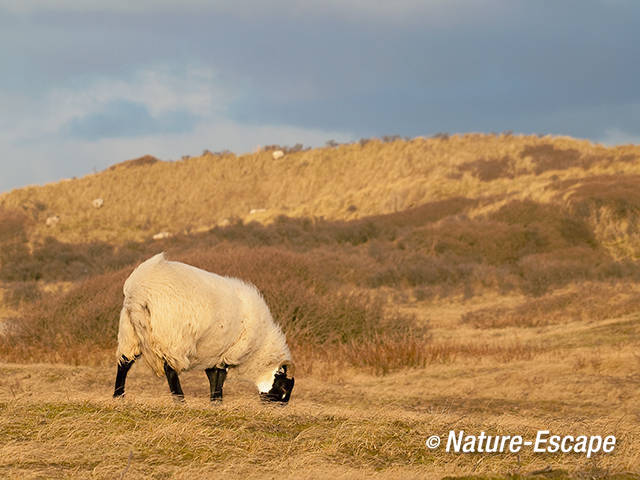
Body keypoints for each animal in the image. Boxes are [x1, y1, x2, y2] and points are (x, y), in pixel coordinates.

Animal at [112, 253, 296, 404]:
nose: (280, 406)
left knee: (124, 363)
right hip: (173, 337)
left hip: (129, 331)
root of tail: (141, 290)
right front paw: (217, 401)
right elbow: (219, 378)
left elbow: (212, 376)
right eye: (284, 386)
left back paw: (118, 396)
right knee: (170, 369)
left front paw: (215, 402)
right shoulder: (229, 353)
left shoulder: (214, 353)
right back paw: (180, 401)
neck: (259, 347)